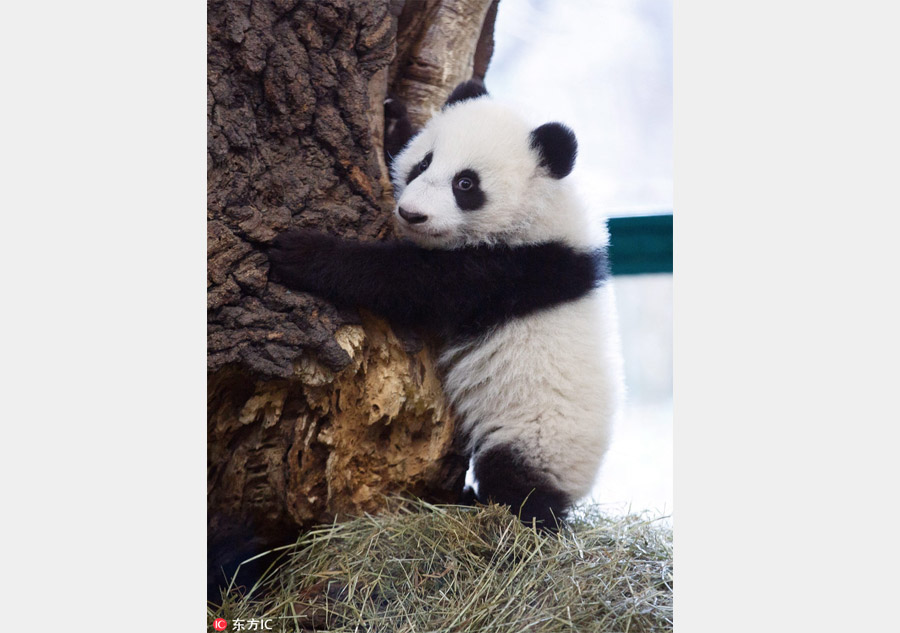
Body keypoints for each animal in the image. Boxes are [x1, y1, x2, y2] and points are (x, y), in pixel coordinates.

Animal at [268, 80, 623, 527]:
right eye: (423, 163)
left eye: (466, 185)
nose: (411, 214)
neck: (539, 206)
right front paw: (394, 120)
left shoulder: (511, 270)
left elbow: (412, 283)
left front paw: (301, 253)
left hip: (540, 436)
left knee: (517, 484)